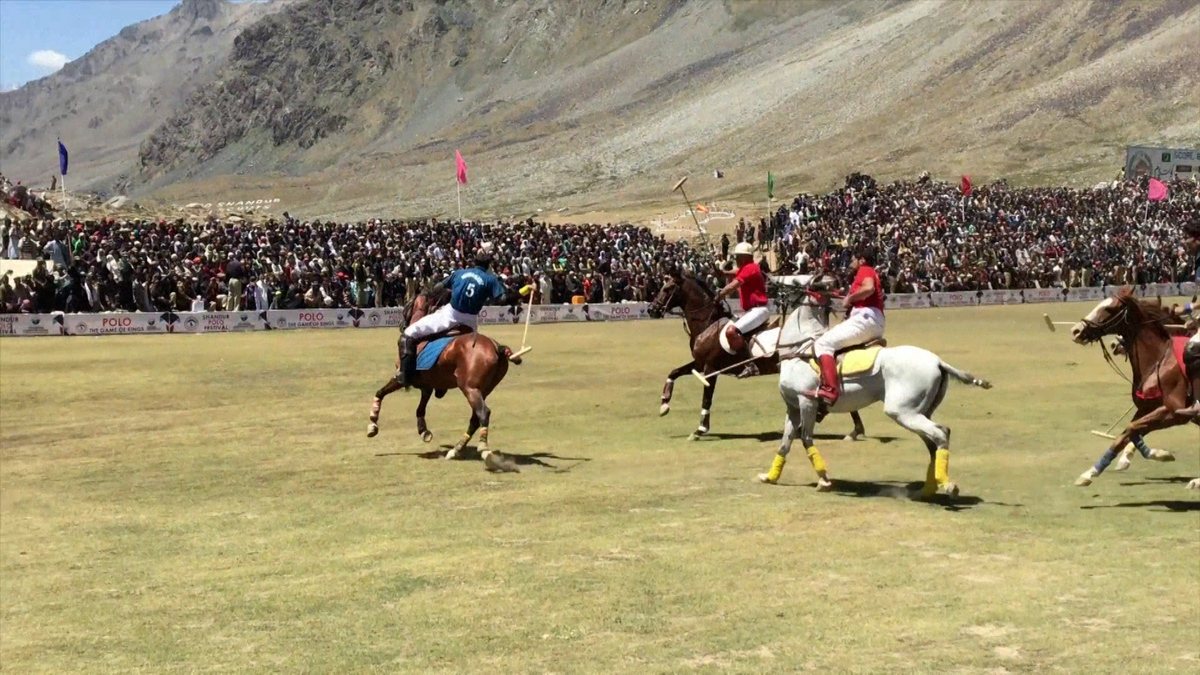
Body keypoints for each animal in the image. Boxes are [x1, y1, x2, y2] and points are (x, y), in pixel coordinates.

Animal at [367, 285, 523, 470]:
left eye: (407, 306)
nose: (401, 325)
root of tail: (497, 347)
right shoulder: (427, 384)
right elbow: (420, 408)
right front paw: (423, 431)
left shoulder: (401, 377)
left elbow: (380, 392)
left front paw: (372, 425)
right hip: (483, 390)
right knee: (475, 418)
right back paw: (456, 450)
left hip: (469, 388)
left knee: (483, 413)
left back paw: (484, 450)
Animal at [648, 270, 864, 439]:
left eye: (667, 289)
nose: (651, 310)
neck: (707, 323)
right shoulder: (700, 364)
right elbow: (674, 372)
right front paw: (664, 404)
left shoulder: (711, 368)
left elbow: (706, 398)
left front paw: (700, 429)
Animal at [758, 276, 993, 497]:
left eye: (795, 280)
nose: (769, 282)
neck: (798, 351)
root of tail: (938, 361)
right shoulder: (792, 407)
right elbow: (785, 443)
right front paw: (770, 477)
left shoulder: (807, 401)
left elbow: (806, 439)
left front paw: (824, 480)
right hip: (920, 411)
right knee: (933, 442)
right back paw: (926, 490)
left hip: (902, 411)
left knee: (941, 434)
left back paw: (947, 486)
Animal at [1075, 285, 1195, 485]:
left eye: (1109, 309)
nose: (1076, 331)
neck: (1158, 359)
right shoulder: (1147, 407)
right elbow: (1128, 433)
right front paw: (1090, 473)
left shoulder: (1175, 411)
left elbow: (1132, 428)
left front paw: (1160, 454)